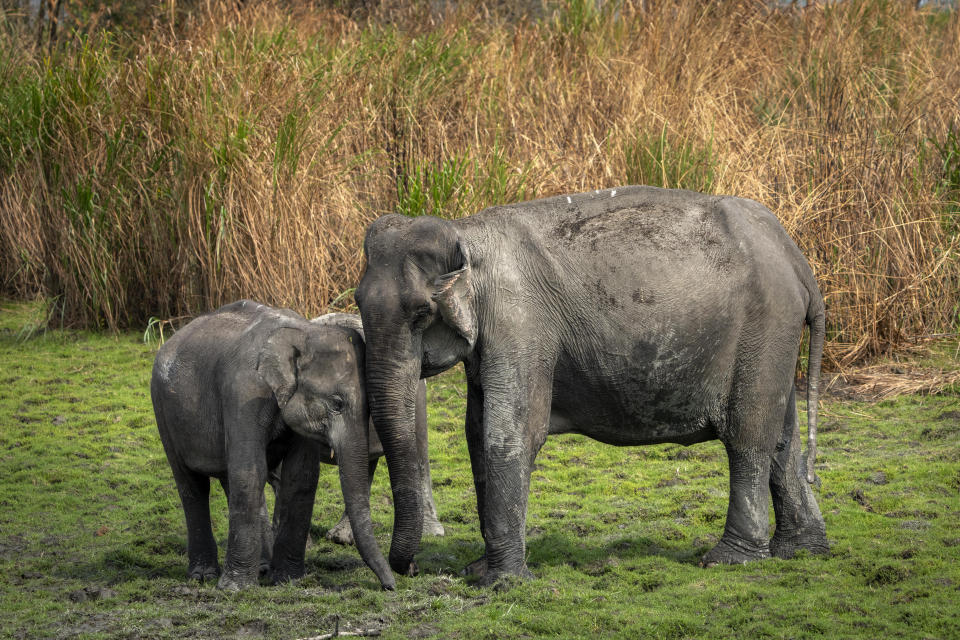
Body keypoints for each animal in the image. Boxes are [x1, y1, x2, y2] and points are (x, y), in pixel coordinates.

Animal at [153, 300, 442, 592]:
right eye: (337, 403)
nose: (397, 581)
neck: (304, 333)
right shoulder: (243, 394)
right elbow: (249, 473)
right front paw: (235, 589)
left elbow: (301, 477)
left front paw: (288, 580)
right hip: (162, 408)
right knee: (192, 486)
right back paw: (204, 576)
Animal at [356, 185, 828, 584]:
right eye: (357, 302)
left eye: (421, 313)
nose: (410, 569)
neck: (465, 232)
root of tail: (799, 261)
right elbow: (475, 432)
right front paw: (479, 570)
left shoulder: (519, 323)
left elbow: (509, 434)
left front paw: (501, 582)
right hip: (775, 339)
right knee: (782, 439)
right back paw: (801, 552)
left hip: (765, 327)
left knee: (749, 437)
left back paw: (728, 560)